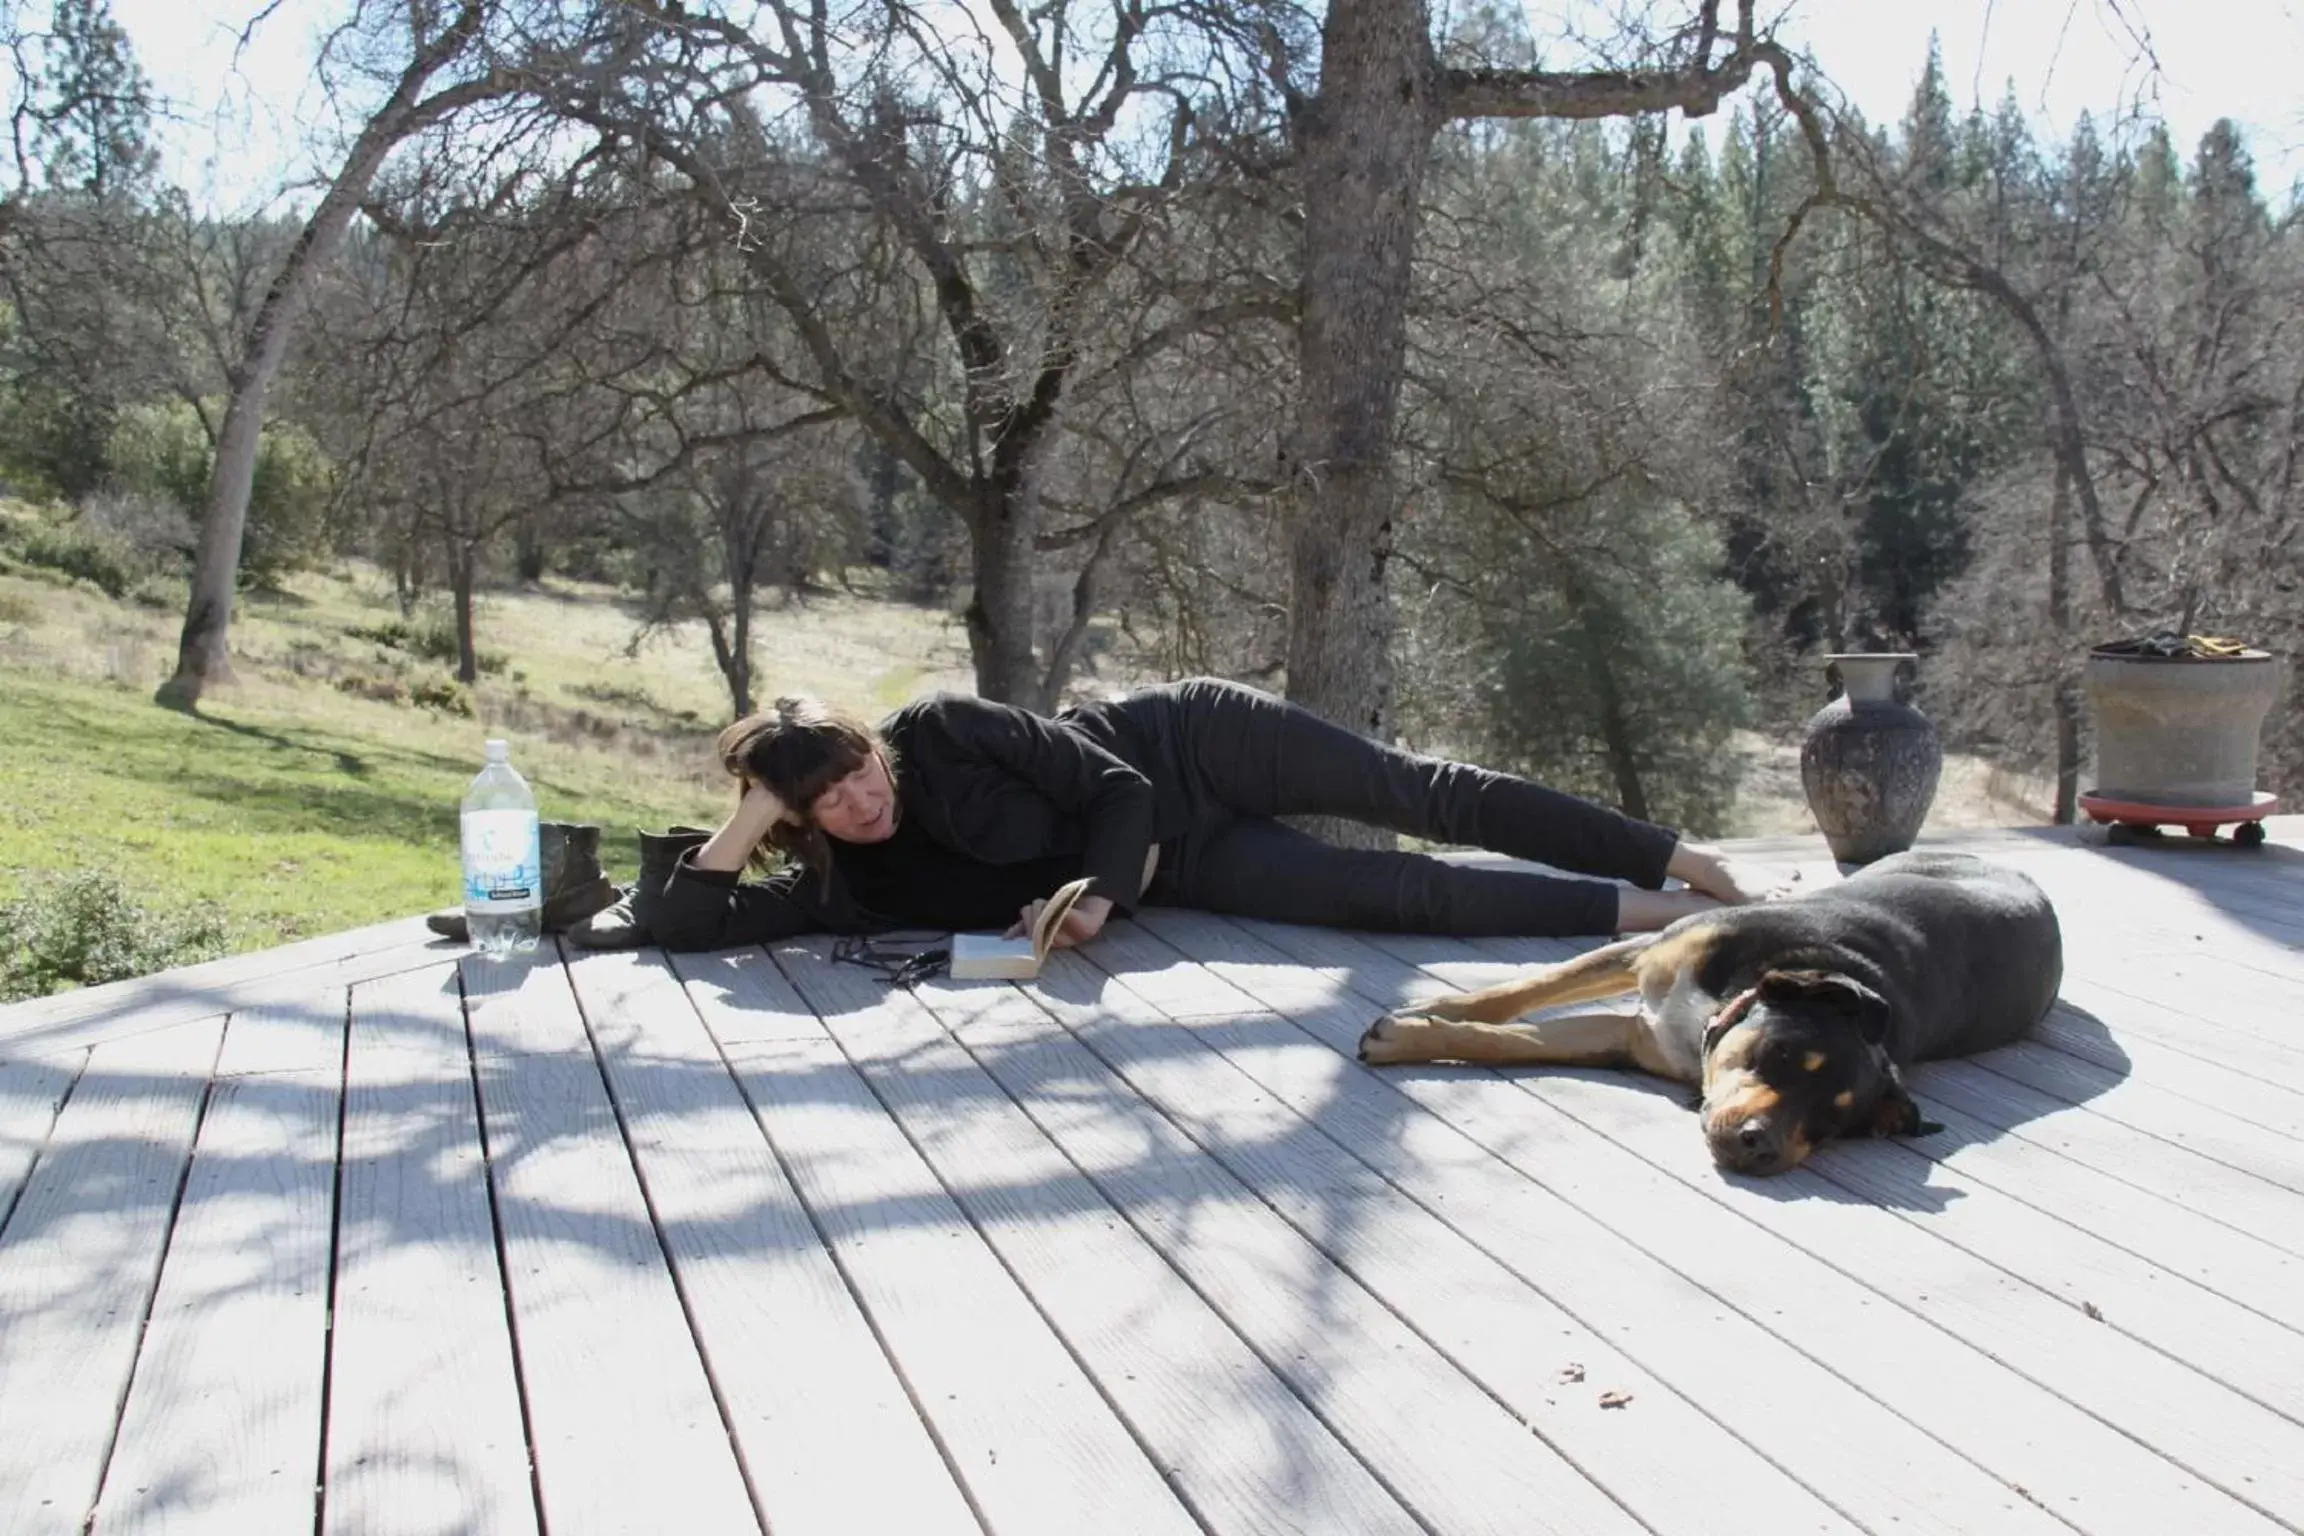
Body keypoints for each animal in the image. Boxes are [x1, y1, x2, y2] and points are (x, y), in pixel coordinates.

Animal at [1354, 852, 2064, 1179]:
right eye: (1782, 1055)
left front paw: (1409, 1036)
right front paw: (1432, 1010)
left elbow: (1516, 1043)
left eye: (1835, 1125)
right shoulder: (1646, 955)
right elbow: (1526, 989)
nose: (1763, 1146)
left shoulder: (1622, 1035)